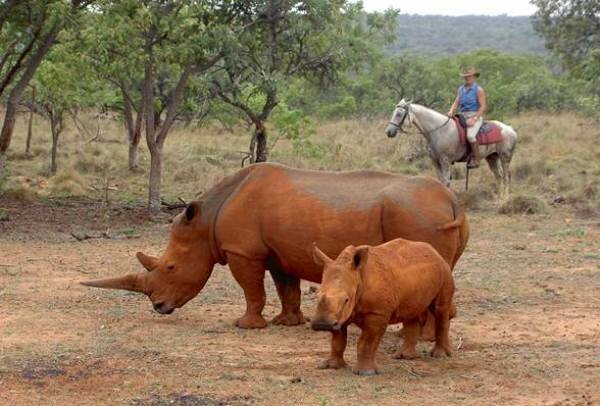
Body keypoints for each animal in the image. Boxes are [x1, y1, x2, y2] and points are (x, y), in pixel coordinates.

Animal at [386, 100, 516, 197]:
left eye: (399, 114)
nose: (389, 132)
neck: (439, 130)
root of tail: (510, 129)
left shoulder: (445, 161)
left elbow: (446, 181)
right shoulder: (435, 161)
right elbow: (441, 181)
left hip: (505, 158)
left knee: (506, 176)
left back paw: (505, 197)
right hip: (492, 158)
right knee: (499, 176)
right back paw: (499, 196)